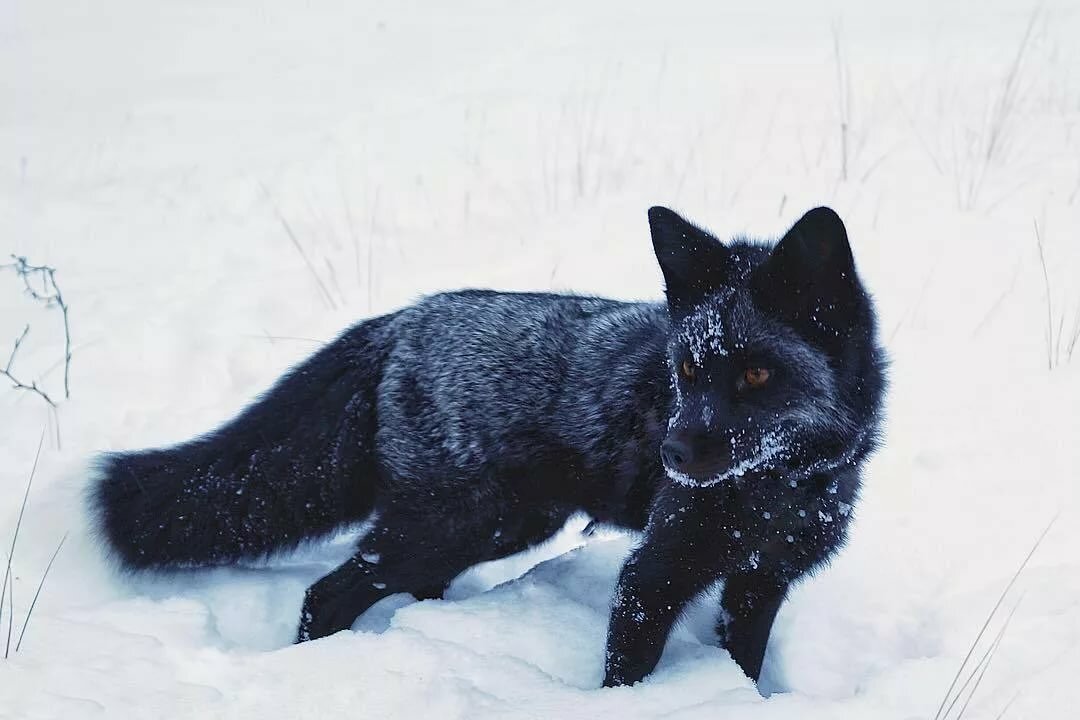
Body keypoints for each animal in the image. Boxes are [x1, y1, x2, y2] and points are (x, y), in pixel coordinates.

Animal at [91, 205, 886, 688]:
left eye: (756, 373)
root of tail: (405, 320)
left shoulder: (761, 580)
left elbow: (744, 661)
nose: (674, 457)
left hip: (486, 531)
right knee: (326, 592)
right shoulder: (653, 574)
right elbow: (627, 669)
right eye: (687, 371)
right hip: (454, 525)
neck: (782, 489)